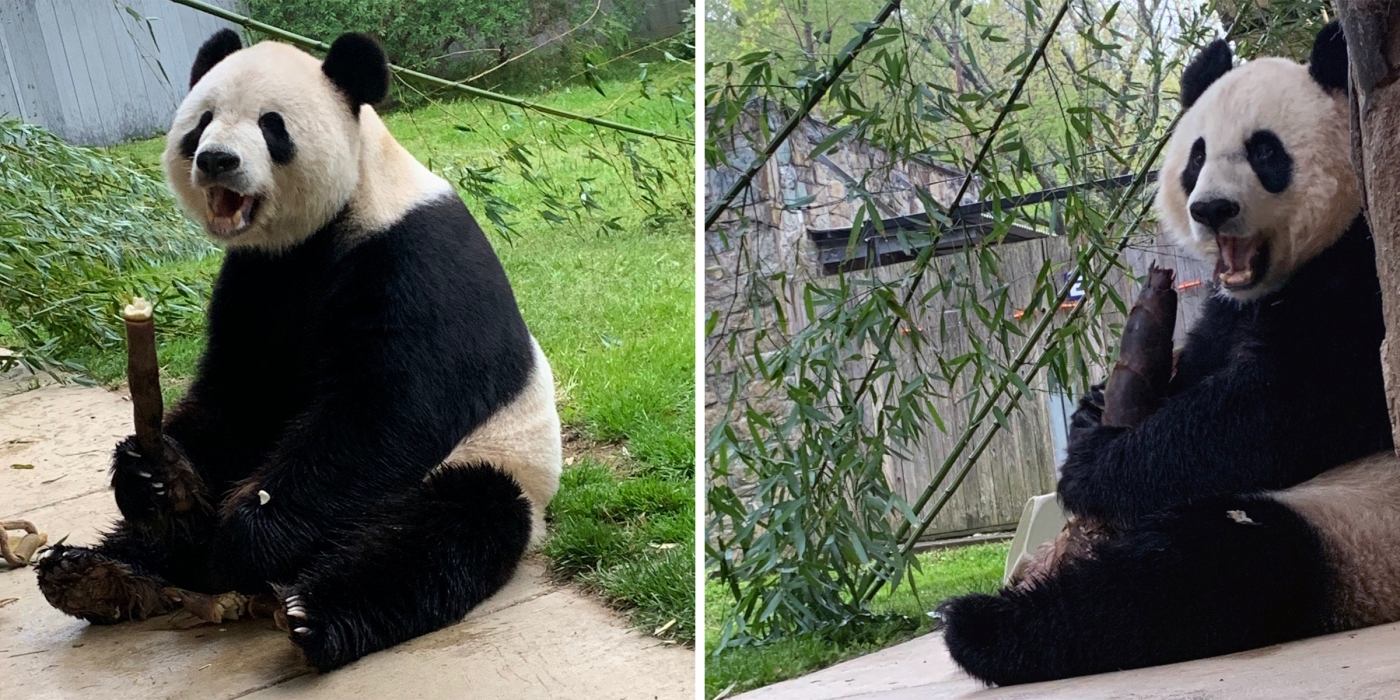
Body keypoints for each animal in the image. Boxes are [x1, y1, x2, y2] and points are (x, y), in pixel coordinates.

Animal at [34, 28, 557, 672]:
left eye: (271, 126)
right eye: (202, 122)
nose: (217, 160)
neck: (321, 228)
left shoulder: (414, 258)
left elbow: (389, 409)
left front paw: (246, 536)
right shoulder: (256, 279)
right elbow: (237, 395)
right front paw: (150, 471)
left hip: (491, 463)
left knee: (438, 532)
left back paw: (309, 612)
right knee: (156, 544)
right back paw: (99, 572)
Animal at [935, 24, 1400, 686]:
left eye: (1266, 152)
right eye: (1197, 156)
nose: (1212, 209)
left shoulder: (1358, 281)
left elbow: (1277, 409)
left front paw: (1091, 467)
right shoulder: (1223, 310)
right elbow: (1197, 366)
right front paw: (1091, 410)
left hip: (1361, 528)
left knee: (1204, 567)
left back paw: (986, 626)